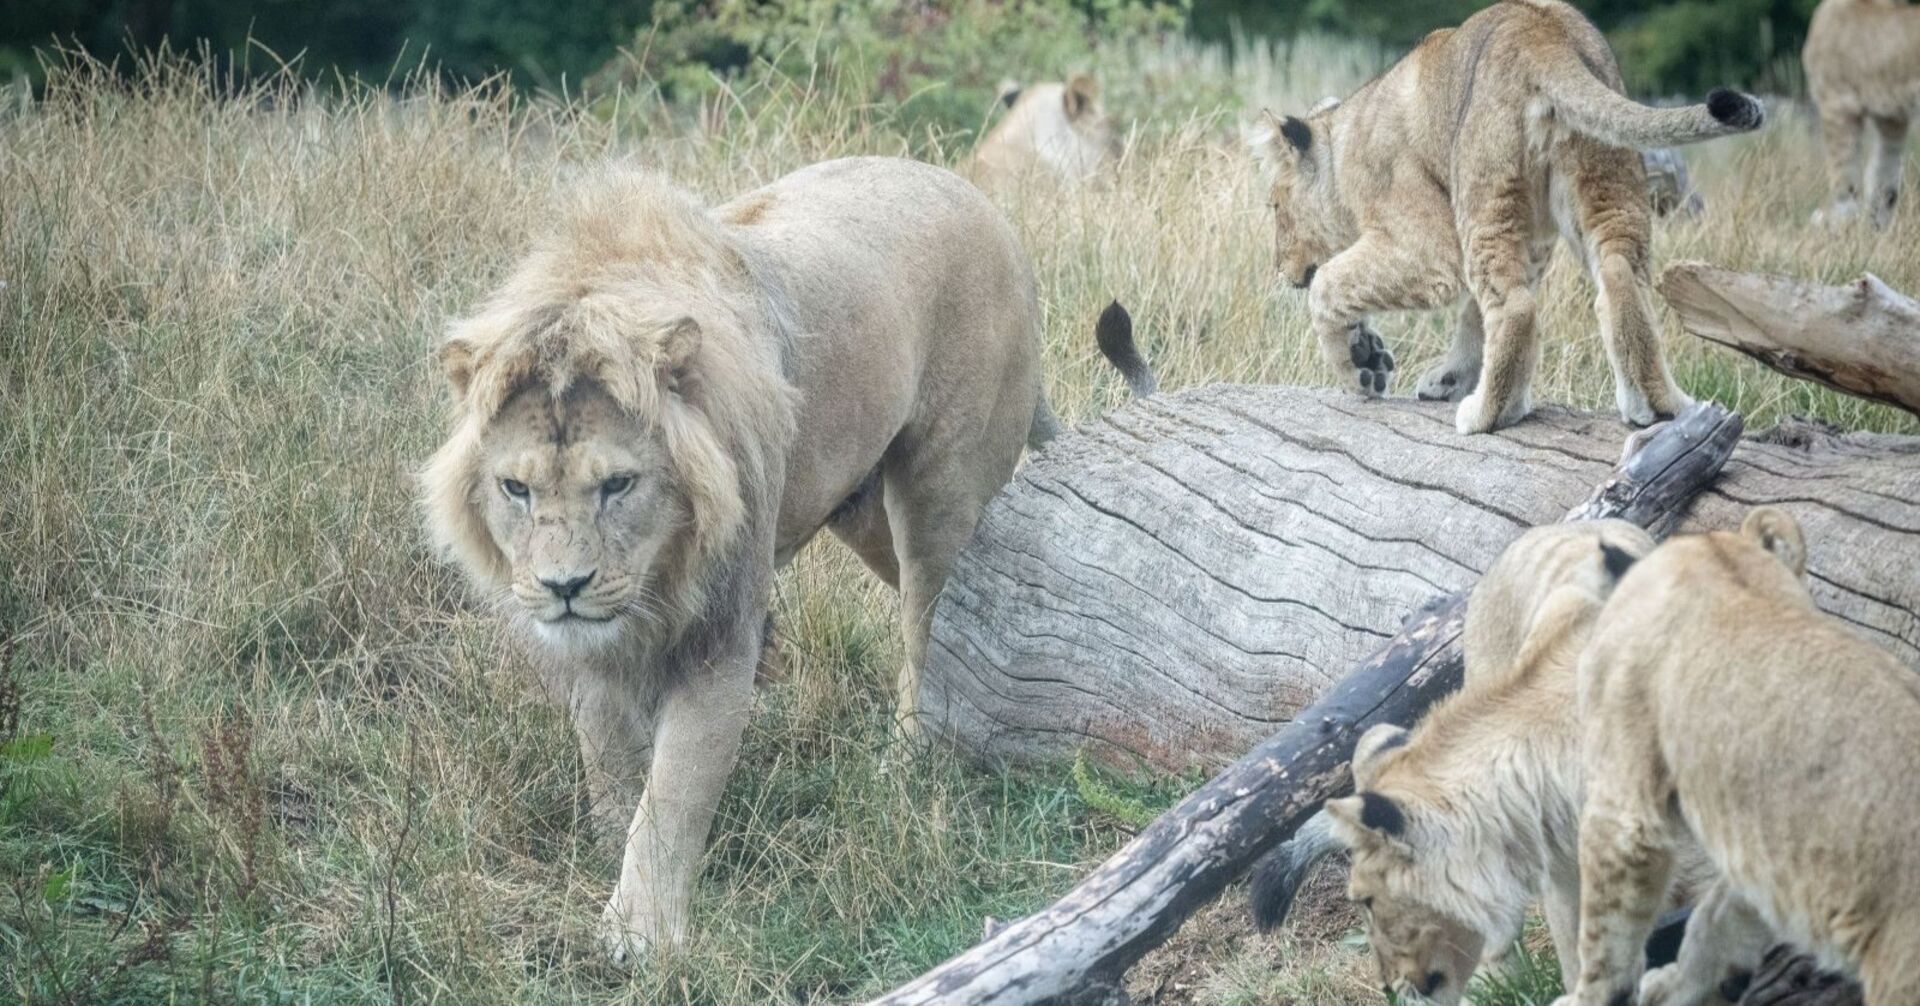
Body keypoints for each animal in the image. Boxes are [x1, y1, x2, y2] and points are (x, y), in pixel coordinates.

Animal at [421, 158, 1153, 960]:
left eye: (618, 485)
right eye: (515, 489)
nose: (564, 587)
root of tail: (984, 204)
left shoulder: (723, 631)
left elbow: (676, 785)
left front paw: (640, 935)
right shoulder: (594, 646)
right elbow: (607, 749)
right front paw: (609, 847)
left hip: (941, 486)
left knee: (932, 617)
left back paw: (908, 761)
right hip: (860, 504)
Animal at [1247, 0, 1764, 434]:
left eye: (1275, 207)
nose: (1279, 270)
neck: (1344, 142)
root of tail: (1543, 33)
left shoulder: (1430, 250)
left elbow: (1329, 283)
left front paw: (1357, 368)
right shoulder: (1534, 237)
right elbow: (1473, 315)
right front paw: (1423, 369)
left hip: (1483, 191)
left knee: (1516, 307)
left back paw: (1488, 414)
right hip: (1605, 182)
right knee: (1619, 278)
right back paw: (1657, 407)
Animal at [1556, 508, 1920, 1006]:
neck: (1725, 571)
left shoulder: (1622, 815)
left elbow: (1603, 939)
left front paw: (1587, 997)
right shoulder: (1767, 854)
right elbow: (1717, 917)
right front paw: (1679, 986)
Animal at [1805, 0, 1920, 228]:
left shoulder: (1838, 103)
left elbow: (1843, 177)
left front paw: (1838, 226)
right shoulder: (1892, 118)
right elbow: (1884, 179)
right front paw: (1876, 231)